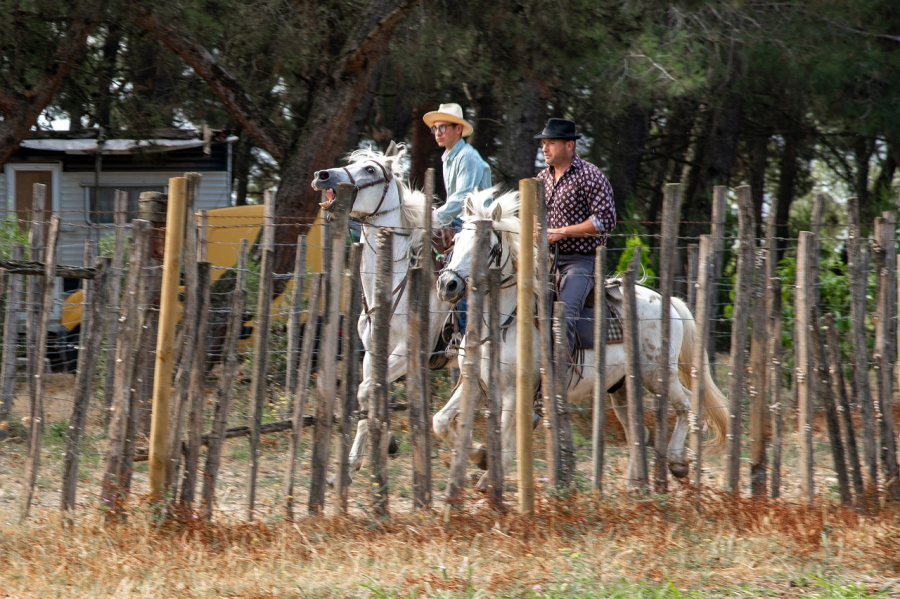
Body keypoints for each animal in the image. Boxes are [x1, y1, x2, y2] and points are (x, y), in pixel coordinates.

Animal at [312, 144, 458, 478]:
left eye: (370, 170)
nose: (322, 175)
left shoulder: (407, 354)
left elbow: (366, 391)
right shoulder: (373, 353)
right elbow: (370, 391)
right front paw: (353, 462)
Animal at [432, 190, 728, 490]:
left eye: (486, 246)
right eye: (457, 240)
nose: (447, 285)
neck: (504, 320)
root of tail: (667, 302)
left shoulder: (514, 392)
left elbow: (506, 437)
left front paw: (488, 477)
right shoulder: (476, 385)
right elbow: (440, 421)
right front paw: (479, 456)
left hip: (657, 374)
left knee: (687, 404)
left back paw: (677, 462)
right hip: (621, 386)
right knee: (639, 431)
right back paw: (633, 484)